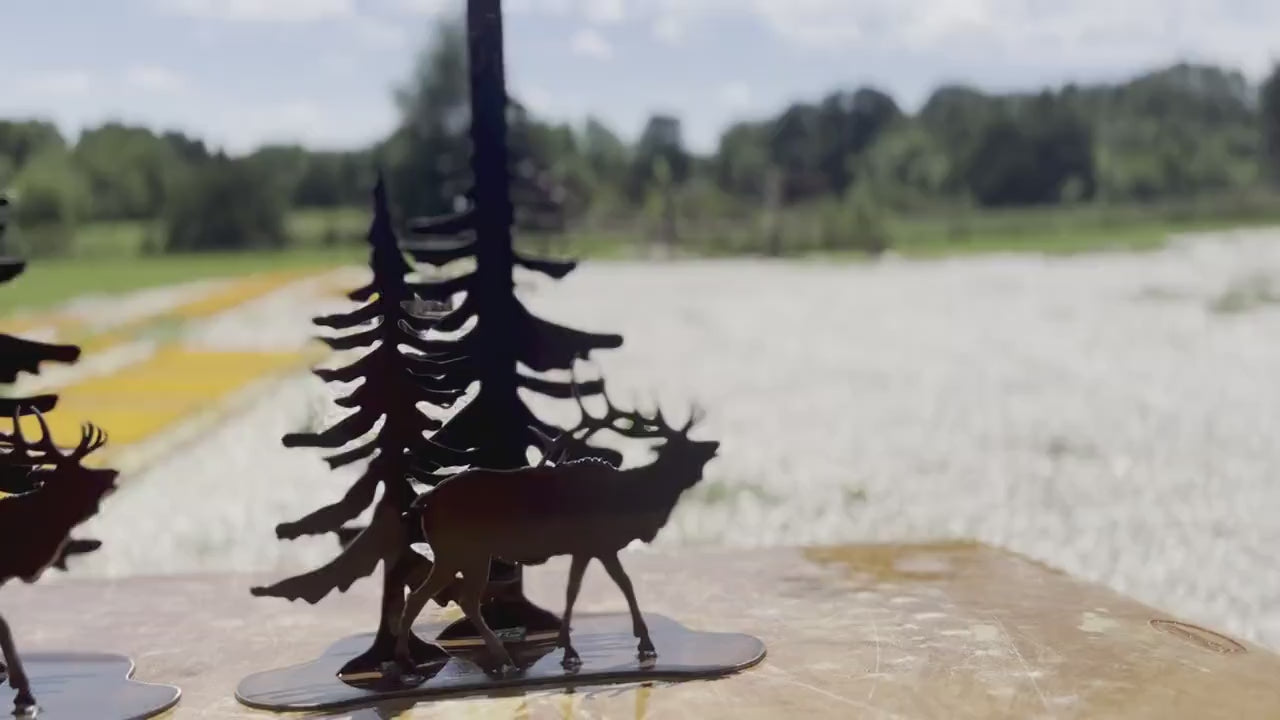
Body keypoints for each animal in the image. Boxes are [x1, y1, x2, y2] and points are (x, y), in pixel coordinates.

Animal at [392, 385, 719, 675]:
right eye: (682, 449)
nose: (714, 445)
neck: (631, 500)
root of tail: (424, 500)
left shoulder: (585, 549)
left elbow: (576, 589)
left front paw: (570, 649)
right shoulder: (599, 544)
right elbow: (618, 584)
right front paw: (642, 644)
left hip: (458, 556)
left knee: (432, 598)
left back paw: (412, 662)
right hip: (464, 553)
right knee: (456, 599)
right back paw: (492, 660)